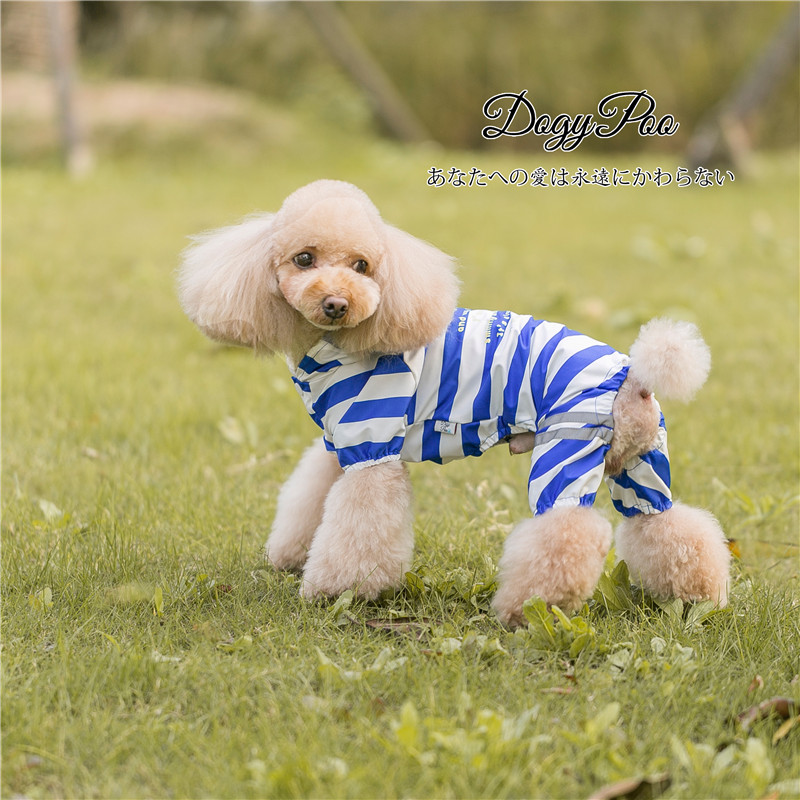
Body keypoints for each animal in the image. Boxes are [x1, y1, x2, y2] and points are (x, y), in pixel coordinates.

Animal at [179, 179, 731, 627]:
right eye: (304, 259)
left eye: (362, 266)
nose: (337, 303)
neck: (338, 347)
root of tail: (635, 373)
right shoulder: (339, 443)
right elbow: (310, 497)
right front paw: (291, 557)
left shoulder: (370, 444)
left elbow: (358, 526)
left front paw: (334, 591)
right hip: (639, 461)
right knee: (663, 522)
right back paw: (697, 597)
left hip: (568, 446)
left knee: (567, 531)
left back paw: (527, 609)